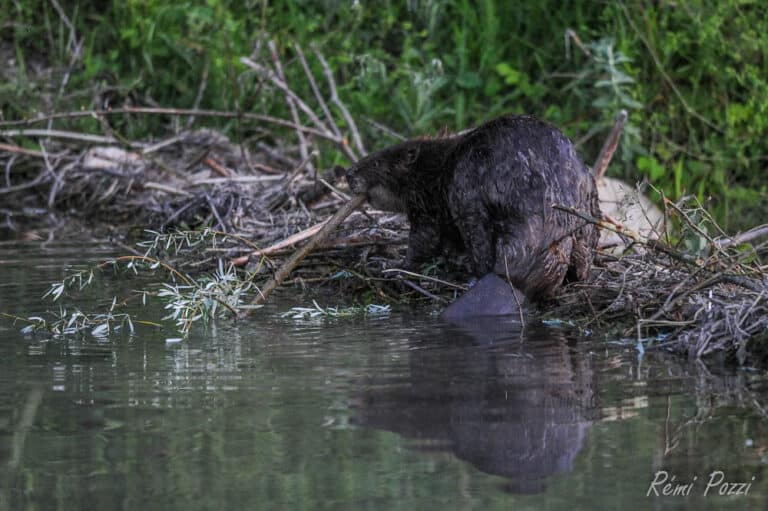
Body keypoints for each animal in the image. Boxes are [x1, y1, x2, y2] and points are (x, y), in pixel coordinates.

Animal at [344, 115, 604, 300]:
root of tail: (513, 281)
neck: (432, 167)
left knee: (480, 250)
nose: (347, 174)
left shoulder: (427, 204)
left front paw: (398, 266)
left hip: (468, 203)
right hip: (589, 205)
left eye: (376, 162)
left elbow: (424, 239)